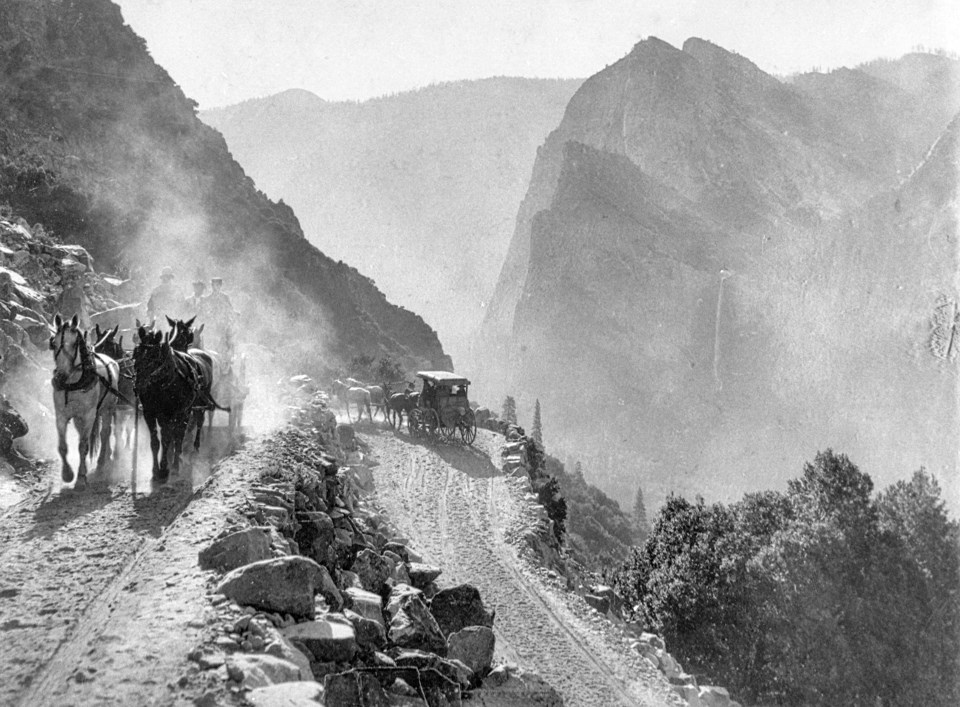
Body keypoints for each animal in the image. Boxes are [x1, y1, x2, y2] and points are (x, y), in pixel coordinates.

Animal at [50, 314, 120, 486]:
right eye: (53, 343)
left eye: (75, 344)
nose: (60, 377)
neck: (73, 383)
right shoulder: (61, 415)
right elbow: (63, 447)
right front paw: (67, 474)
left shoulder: (89, 415)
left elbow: (83, 445)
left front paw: (81, 478)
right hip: (78, 418)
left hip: (108, 409)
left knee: (105, 432)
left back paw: (102, 462)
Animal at [133, 324, 223, 482]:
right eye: (136, 354)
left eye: (153, 357)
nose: (138, 386)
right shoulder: (149, 413)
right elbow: (155, 442)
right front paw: (155, 470)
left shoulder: (174, 413)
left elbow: (169, 438)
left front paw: (165, 468)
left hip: (191, 407)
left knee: (188, 428)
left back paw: (186, 454)